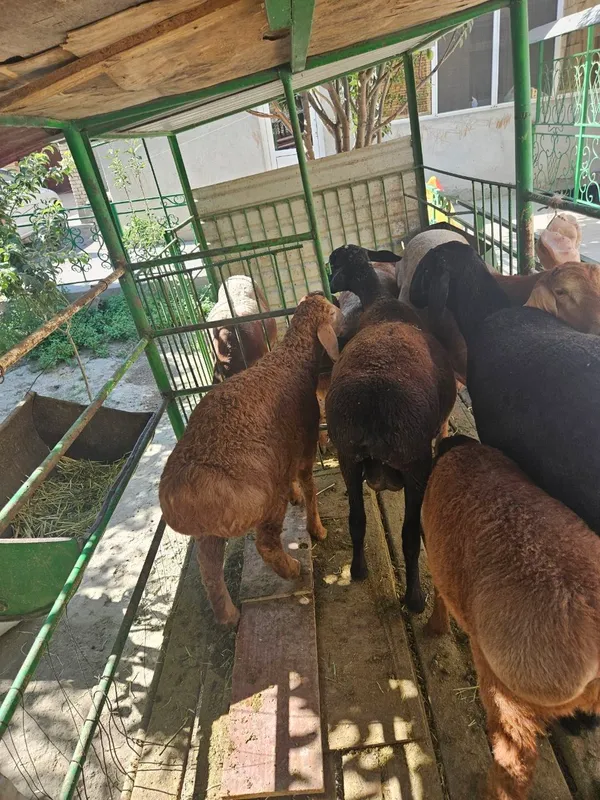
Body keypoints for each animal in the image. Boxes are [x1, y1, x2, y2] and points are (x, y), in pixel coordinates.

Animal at [159, 293, 343, 625]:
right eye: (333, 312)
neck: (290, 358)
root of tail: (179, 499)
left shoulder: (285, 449)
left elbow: (294, 480)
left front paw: (297, 497)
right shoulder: (305, 444)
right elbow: (309, 486)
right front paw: (317, 529)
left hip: (207, 533)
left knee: (209, 572)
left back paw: (229, 616)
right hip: (264, 499)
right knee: (266, 544)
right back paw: (293, 568)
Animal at [326, 245, 456, 612]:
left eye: (334, 262)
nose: (330, 283)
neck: (380, 304)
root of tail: (373, 406)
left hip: (348, 456)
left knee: (357, 520)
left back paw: (358, 570)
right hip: (414, 464)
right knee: (410, 538)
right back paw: (414, 598)